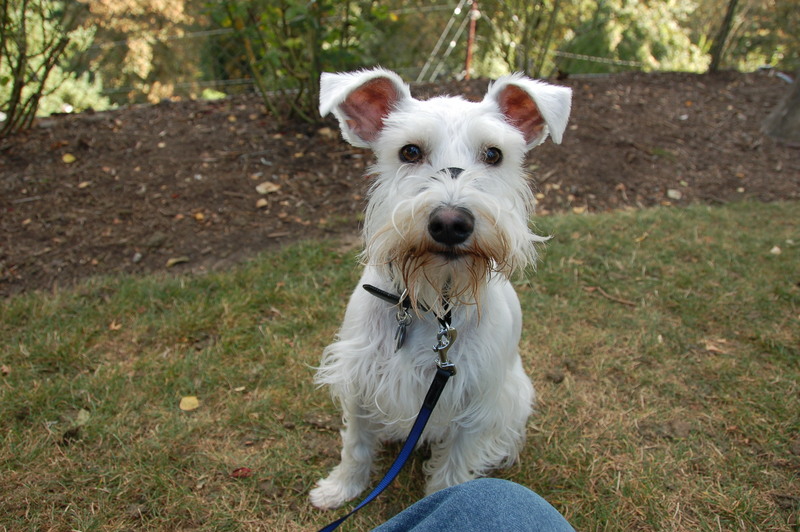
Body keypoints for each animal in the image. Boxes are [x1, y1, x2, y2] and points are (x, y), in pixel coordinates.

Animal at [309, 68, 571, 510]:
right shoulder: (360, 382)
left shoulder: (475, 403)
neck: (432, 302)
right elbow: (356, 445)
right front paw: (340, 488)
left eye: (494, 154)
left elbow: (453, 466)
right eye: (410, 151)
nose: (450, 223)